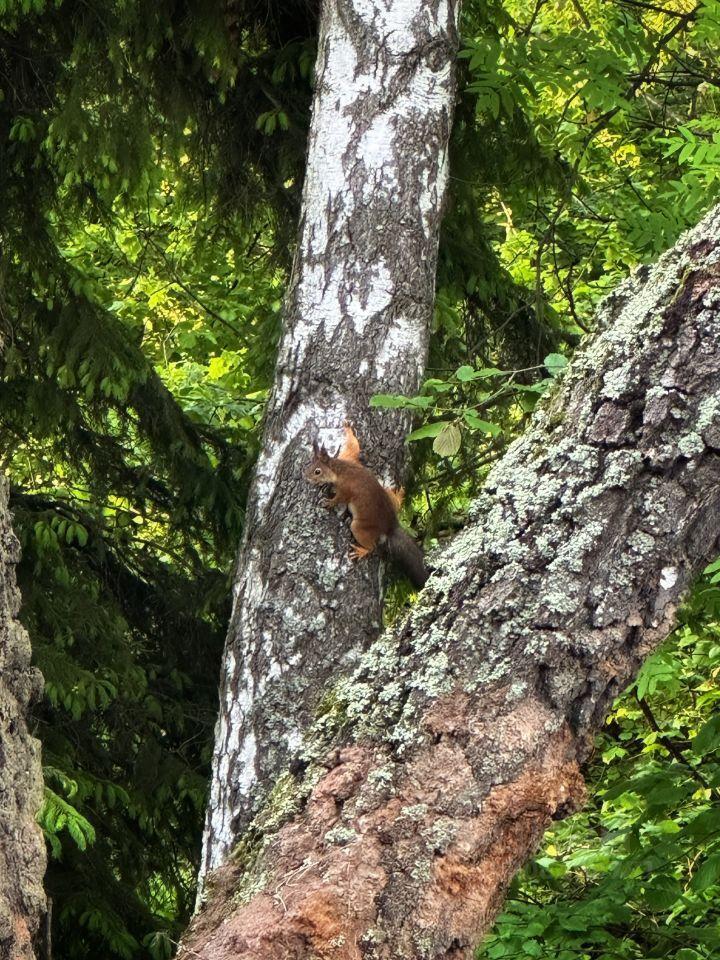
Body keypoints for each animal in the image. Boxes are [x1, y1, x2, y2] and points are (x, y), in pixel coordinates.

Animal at [304, 424, 428, 588]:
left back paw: (361, 551)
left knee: (372, 547)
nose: (305, 476)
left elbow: (340, 499)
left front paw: (328, 502)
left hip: (359, 527)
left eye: (317, 471)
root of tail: (390, 527)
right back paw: (399, 495)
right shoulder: (349, 458)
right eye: (310, 464)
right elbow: (354, 447)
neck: (339, 469)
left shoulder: (346, 489)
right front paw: (348, 428)